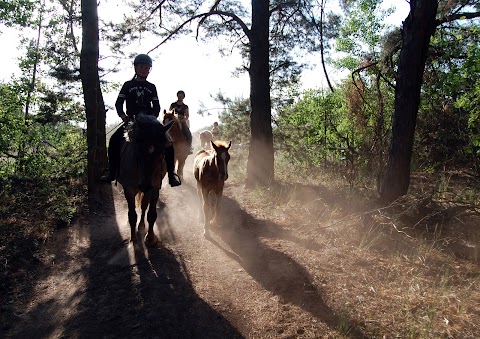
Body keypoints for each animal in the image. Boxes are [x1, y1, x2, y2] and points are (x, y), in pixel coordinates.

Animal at [116, 114, 174, 247]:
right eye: (138, 149)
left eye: (162, 152)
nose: (144, 185)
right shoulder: (129, 189)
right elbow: (132, 215)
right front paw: (133, 240)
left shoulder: (155, 187)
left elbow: (151, 214)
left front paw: (151, 238)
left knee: (143, 206)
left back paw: (142, 226)